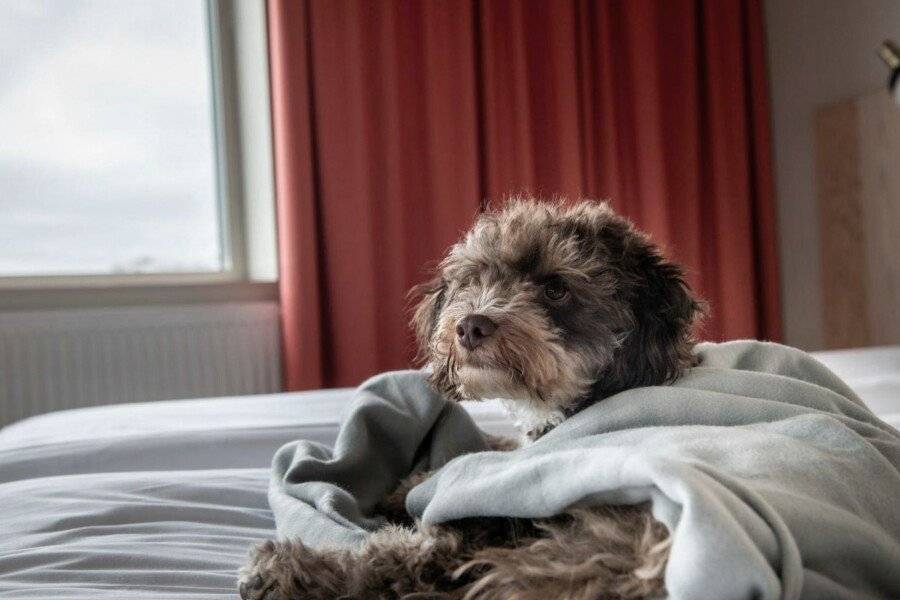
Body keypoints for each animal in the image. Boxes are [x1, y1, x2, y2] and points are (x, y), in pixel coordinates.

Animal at [239, 198, 704, 600]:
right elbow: (489, 452)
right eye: (477, 277)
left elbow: (400, 555)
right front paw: (414, 482)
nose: (470, 326)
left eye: (556, 289)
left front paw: (286, 570)